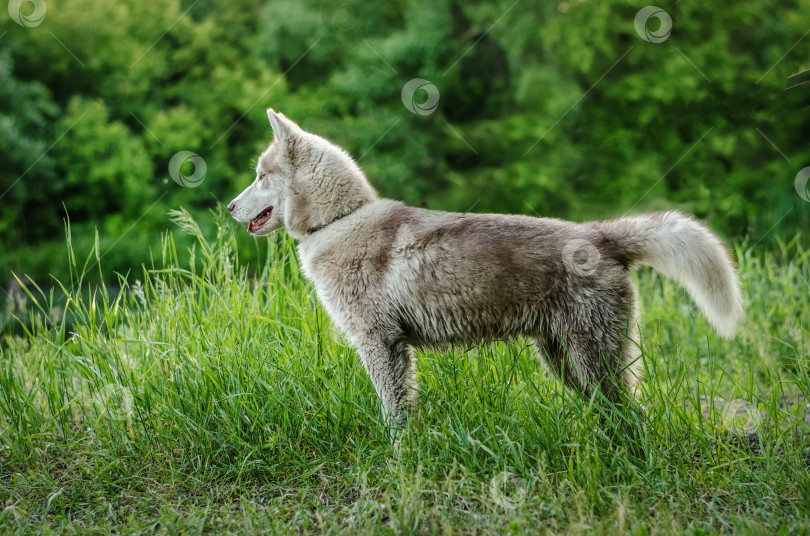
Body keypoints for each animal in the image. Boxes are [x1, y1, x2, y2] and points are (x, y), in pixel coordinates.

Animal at [226, 110, 740, 432]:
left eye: (259, 175)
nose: (228, 206)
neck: (341, 219)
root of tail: (601, 235)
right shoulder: (395, 348)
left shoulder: (379, 343)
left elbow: (393, 412)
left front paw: (396, 456)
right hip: (564, 363)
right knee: (617, 415)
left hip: (591, 360)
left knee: (631, 416)